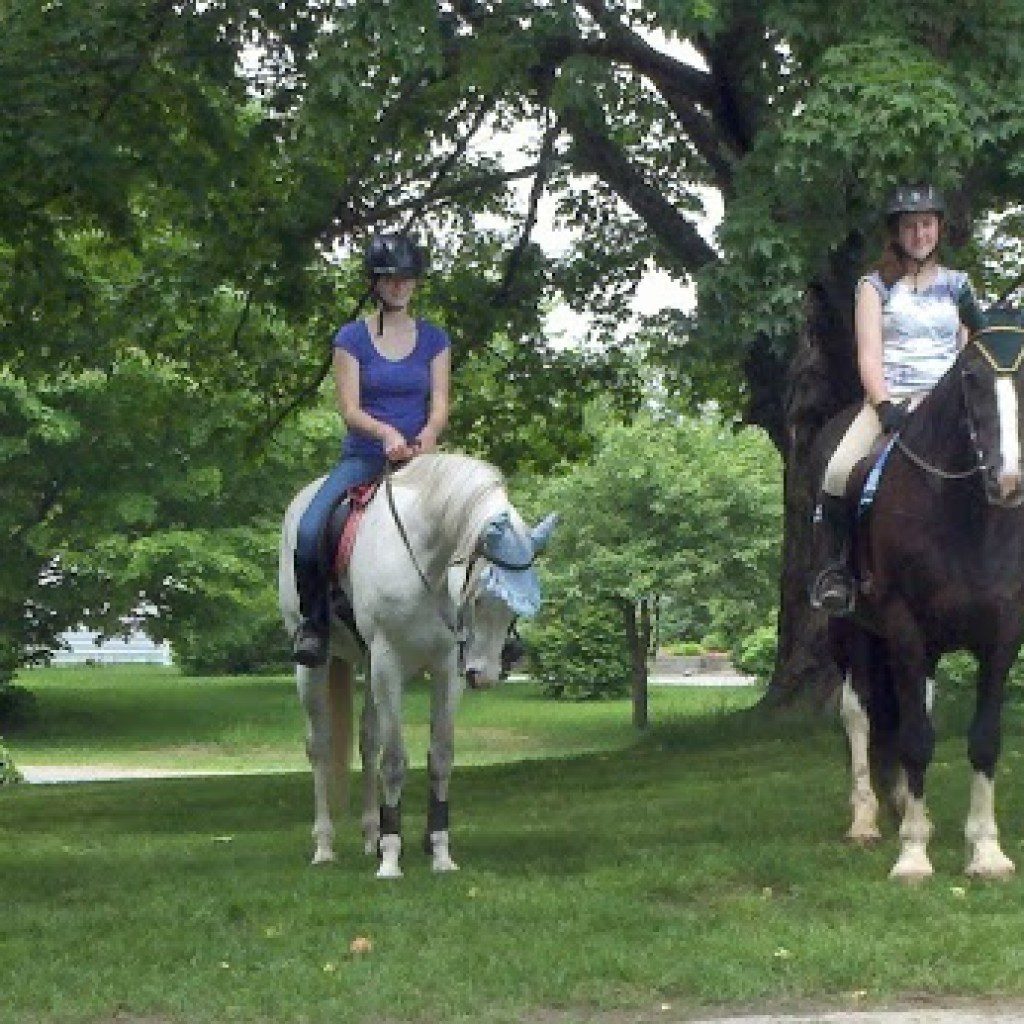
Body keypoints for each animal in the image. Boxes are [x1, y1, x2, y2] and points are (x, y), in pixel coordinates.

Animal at [279, 452, 557, 878]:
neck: (427, 559)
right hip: (316, 667)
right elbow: (394, 761)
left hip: (369, 666)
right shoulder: (389, 662)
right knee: (320, 746)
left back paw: (371, 837)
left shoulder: (446, 669)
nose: (485, 676)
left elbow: (440, 756)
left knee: (368, 741)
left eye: (515, 609)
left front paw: (439, 852)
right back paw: (325, 846)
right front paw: (391, 859)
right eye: (478, 596)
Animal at [829, 306, 1024, 881]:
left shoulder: (1003, 634)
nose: (1008, 482)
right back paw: (866, 820)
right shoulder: (904, 627)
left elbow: (983, 741)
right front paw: (913, 855)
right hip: (850, 630)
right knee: (858, 713)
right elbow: (916, 739)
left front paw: (987, 851)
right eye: (971, 378)